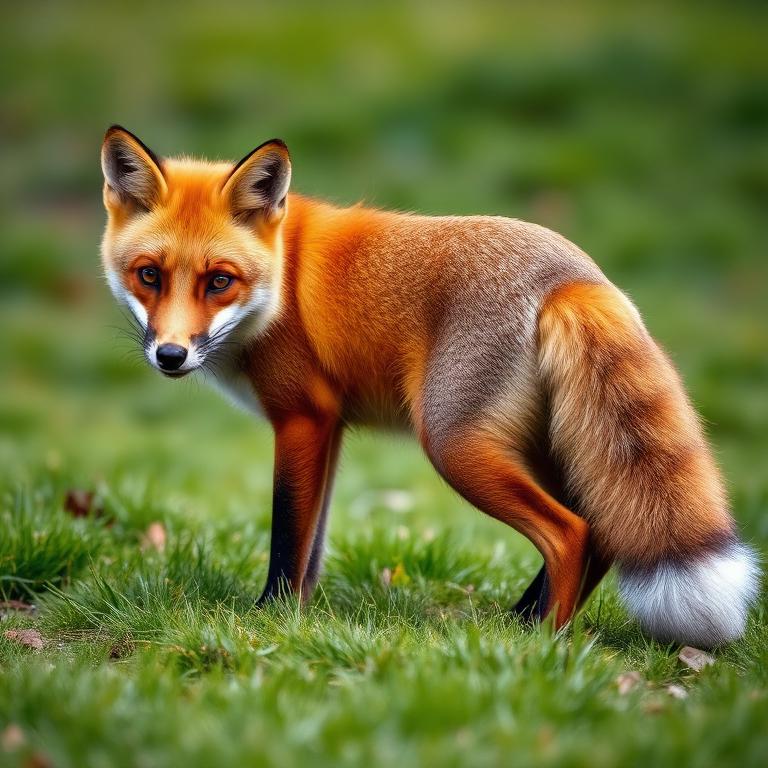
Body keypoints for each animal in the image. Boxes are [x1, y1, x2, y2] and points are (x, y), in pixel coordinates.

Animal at [99, 125, 759, 647]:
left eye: (219, 280)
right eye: (149, 275)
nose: (170, 355)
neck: (279, 284)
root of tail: (575, 277)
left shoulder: (301, 418)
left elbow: (288, 534)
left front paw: (270, 618)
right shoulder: (330, 428)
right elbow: (314, 545)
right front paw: (299, 618)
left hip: (456, 445)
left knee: (571, 533)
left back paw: (543, 644)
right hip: (553, 449)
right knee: (600, 531)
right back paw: (520, 622)